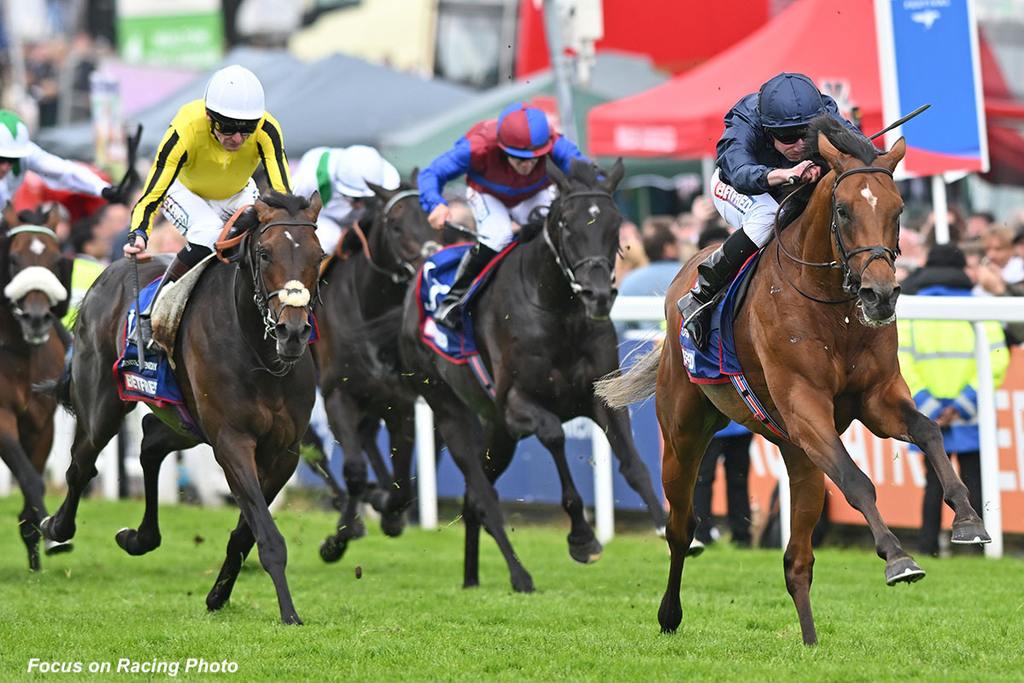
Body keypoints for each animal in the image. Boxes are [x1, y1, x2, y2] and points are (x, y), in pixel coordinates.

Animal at [41, 192, 321, 626]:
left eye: (318, 255)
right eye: (265, 252)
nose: (293, 331)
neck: (261, 355)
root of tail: (107, 271)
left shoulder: (283, 452)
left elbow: (246, 532)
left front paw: (218, 595)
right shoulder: (232, 442)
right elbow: (267, 535)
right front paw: (289, 613)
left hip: (186, 422)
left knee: (150, 442)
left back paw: (139, 537)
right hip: (102, 407)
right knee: (81, 467)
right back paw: (56, 527)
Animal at [309, 176, 442, 561]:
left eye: (433, 220)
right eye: (396, 226)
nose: (430, 261)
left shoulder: (401, 402)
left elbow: (401, 485)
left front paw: (388, 507)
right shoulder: (338, 394)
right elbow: (353, 469)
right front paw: (337, 540)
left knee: (365, 435)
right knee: (314, 448)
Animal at [399, 157, 671, 589]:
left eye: (615, 224)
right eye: (567, 225)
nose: (598, 295)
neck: (558, 309)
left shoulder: (601, 394)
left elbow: (634, 465)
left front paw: (668, 529)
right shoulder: (517, 404)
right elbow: (555, 436)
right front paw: (583, 538)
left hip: (497, 431)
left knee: (473, 498)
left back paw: (472, 578)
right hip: (452, 411)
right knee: (482, 494)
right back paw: (519, 575)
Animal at [598, 117, 987, 647]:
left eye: (899, 210)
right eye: (843, 210)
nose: (881, 295)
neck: (832, 307)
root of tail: (683, 276)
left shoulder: (878, 399)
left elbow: (928, 430)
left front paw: (968, 521)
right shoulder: (806, 408)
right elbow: (857, 480)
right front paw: (898, 558)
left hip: (799, 456)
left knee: (797, 561)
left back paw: (809, 641)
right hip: (683, 435)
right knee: (681, 528)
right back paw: (670, 615)